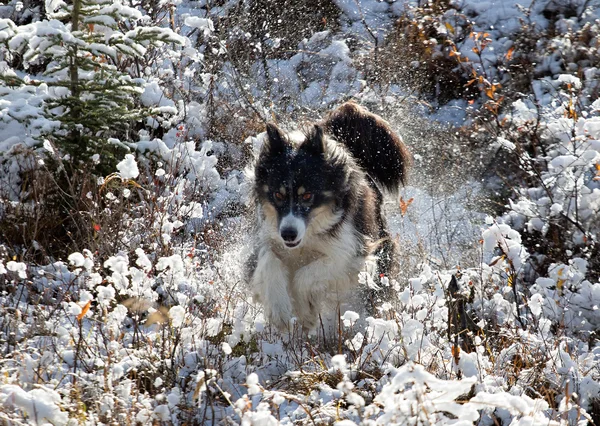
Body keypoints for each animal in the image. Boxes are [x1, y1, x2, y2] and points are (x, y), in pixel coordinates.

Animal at [246, 101, 410, 332]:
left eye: (307, 195)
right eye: (278, 195)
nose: (288, 234)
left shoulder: (353, 253)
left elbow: (309, 274)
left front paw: (305, 312)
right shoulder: (268, 238)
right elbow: (269, 260)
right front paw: (280, 312)